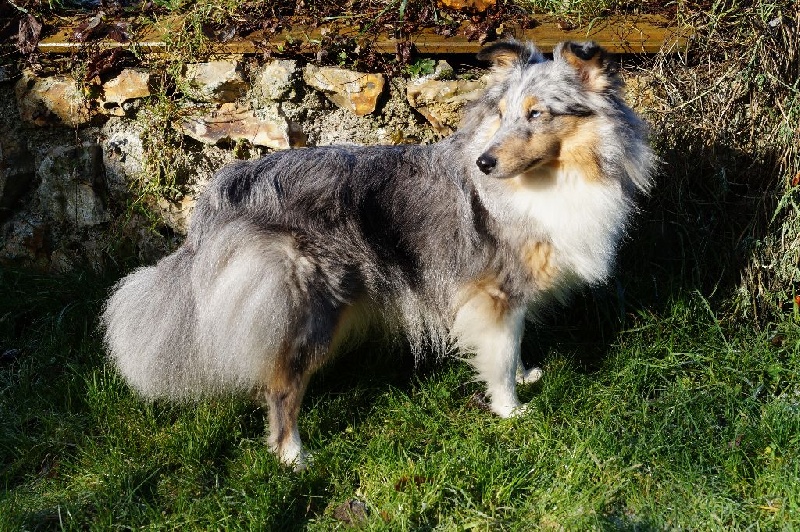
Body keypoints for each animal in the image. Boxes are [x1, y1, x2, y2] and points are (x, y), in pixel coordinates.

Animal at [102, 40, 655, 469]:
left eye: (537, 113)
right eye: (501, 115)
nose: (484, 162)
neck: (553, 178)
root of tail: (225, 190)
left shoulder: (509, 295)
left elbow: (513, 347)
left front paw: (525, 377)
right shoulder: (493, 292)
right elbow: (499, 354)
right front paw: (511, 410)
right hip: (309, 307)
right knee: (281, 386)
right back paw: (293, 457)